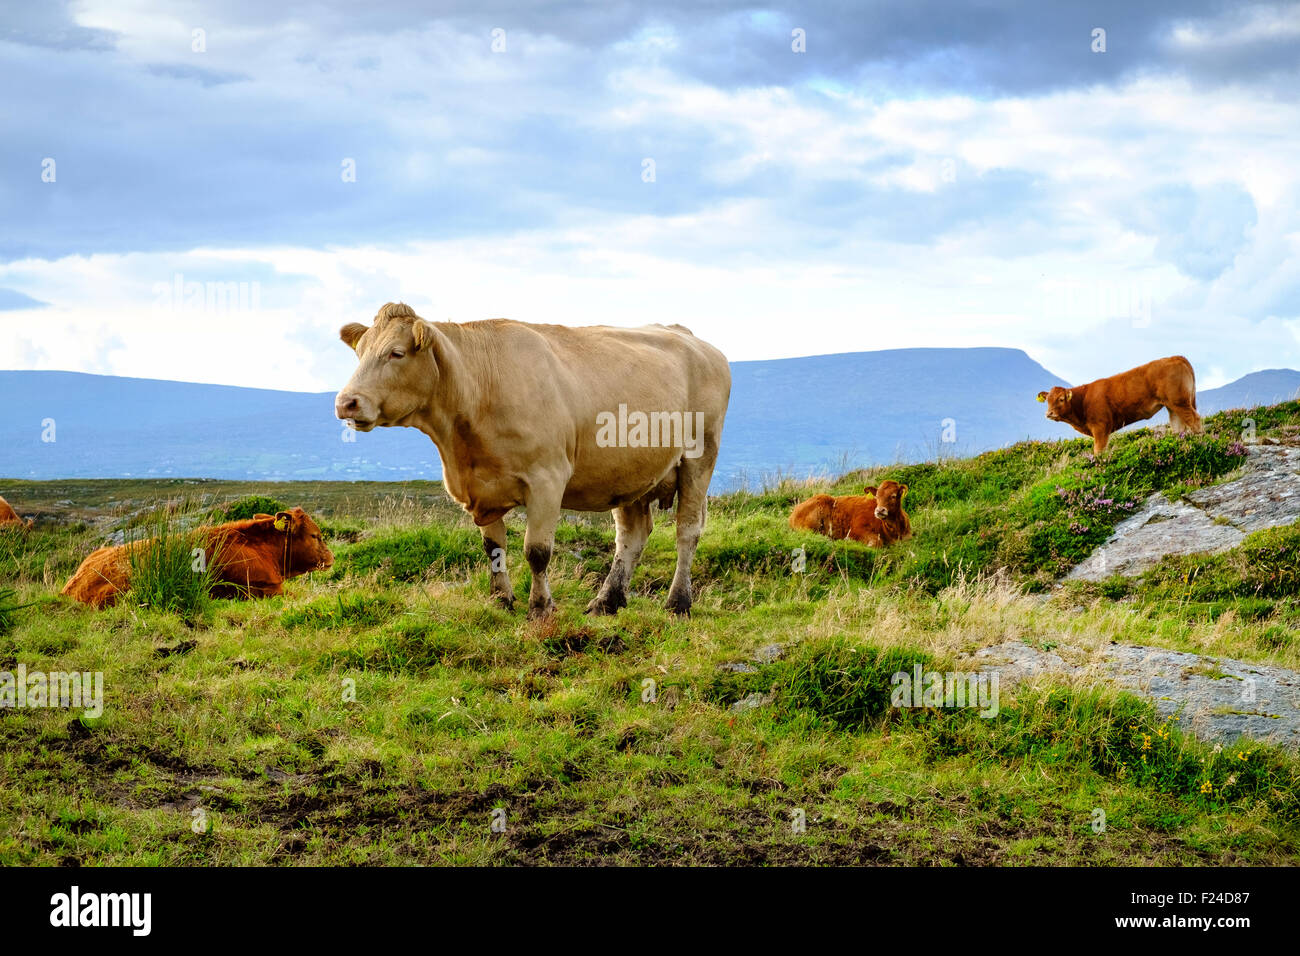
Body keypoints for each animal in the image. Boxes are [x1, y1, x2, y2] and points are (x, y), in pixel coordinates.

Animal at [335, 300, 733, 621]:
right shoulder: (482, 488)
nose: (346, 402)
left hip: (700, 456)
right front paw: (500, 600)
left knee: (687, 531)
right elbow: (493, 548)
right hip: (630, 473)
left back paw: (678, 603)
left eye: (396, 353)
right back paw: (606, 602)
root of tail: (694, 339)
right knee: (632, 536)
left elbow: (537, 551)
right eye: (360, 352)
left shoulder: (547, 479)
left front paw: (540, 607)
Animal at [1040, 356, 1201, 455]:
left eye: (1061, 399)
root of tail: (1176, 357)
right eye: (1047, 400)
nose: (1049, 414)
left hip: (1179, 402)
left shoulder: (1100, 427)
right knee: (1178, 426)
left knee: (1195, 420)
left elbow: (1098, 452)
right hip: (1172, 405)